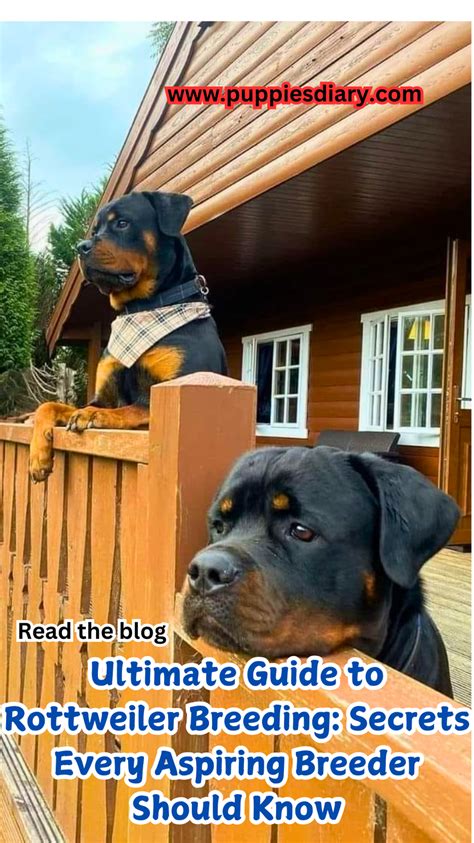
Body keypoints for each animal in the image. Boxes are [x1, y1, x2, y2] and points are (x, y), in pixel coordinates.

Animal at [29, 190, 227, 481]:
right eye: (95, 230)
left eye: (122, 223)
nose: (81, 247)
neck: (143, 309)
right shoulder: (103, 394)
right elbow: (50, 405)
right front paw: (38, 458)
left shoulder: (175, 386)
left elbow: (134, 407)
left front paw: (94, 415)